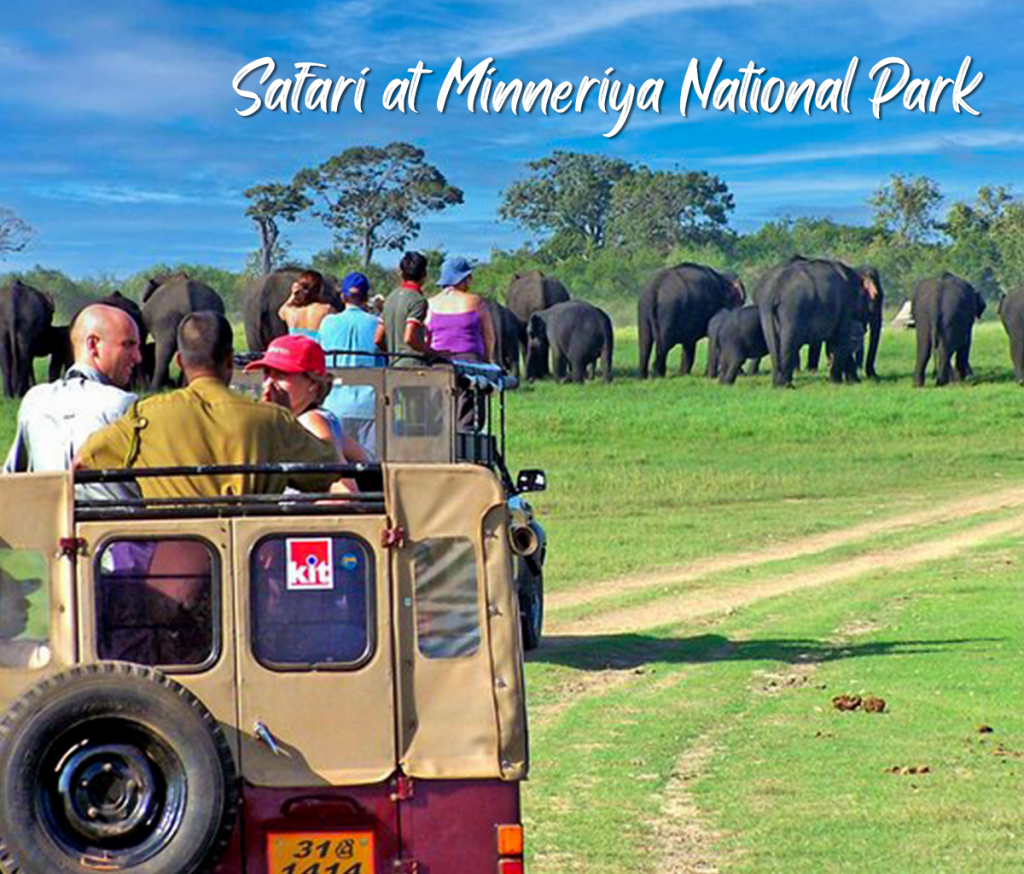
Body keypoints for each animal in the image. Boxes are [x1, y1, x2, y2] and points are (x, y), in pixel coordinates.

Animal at [753, 254, 880, 388]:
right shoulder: (845, 307)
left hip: (766, 312)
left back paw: (777, 384)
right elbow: (840, 339)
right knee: (789, 341)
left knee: (774, 342)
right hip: (792, 310)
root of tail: (773, 291)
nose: (874, 377)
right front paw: (837, 382)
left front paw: (852, 381)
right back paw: (786, 385)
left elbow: (834, 342)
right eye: (877, 296)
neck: (855, 271)